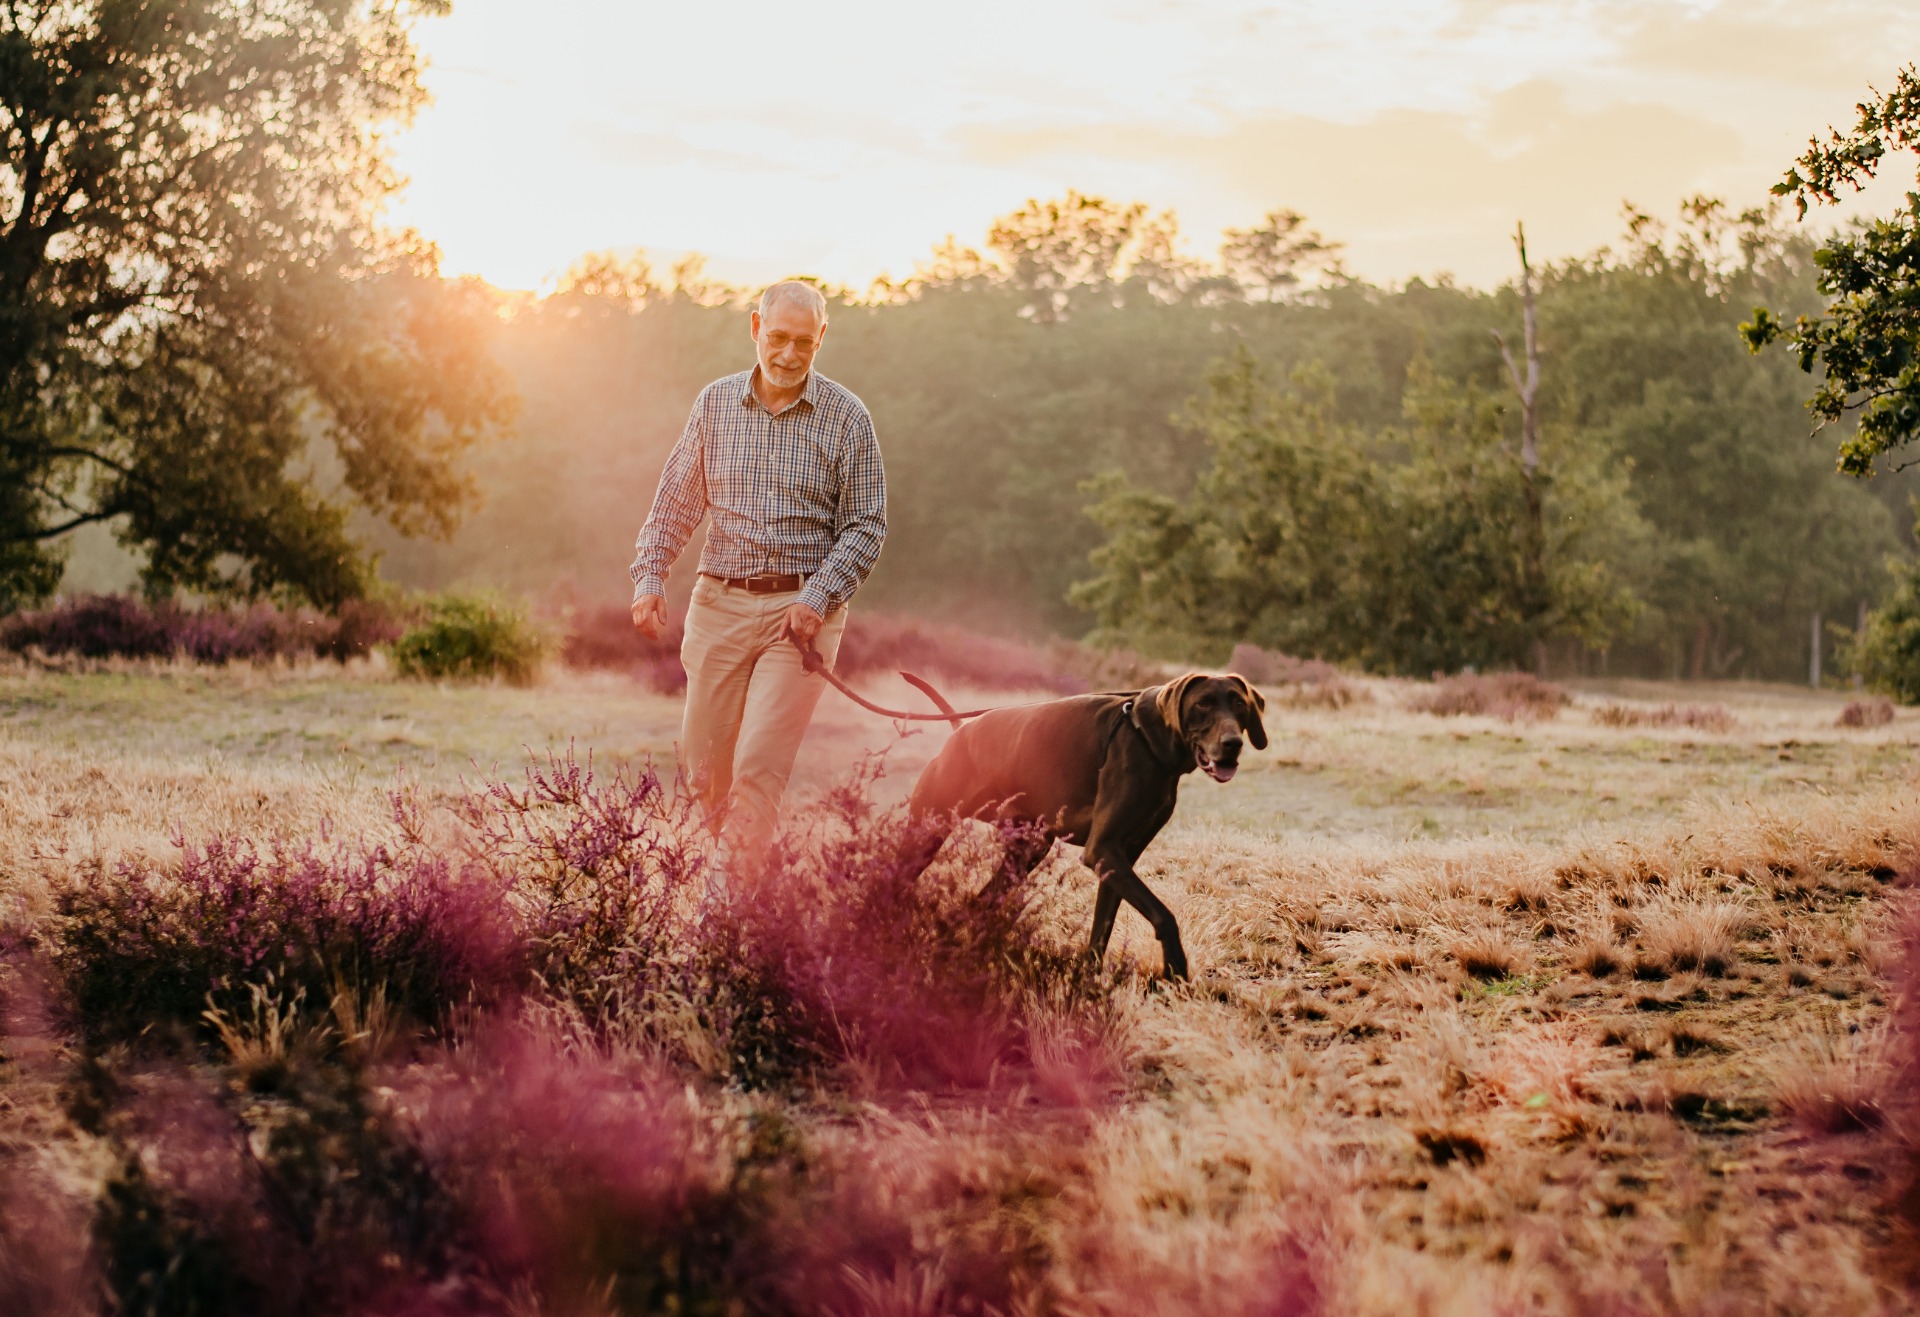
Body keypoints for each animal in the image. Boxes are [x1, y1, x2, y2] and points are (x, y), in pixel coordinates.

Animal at [906, 679, 1267, 979]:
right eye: (1202, 704)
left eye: (1239, 703)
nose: (1232, 743)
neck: (1148, 739)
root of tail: (959, 731)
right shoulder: (1104, 852)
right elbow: (1164, 916)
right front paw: (1175, 967)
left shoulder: (1119, 860)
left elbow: (1101, 930)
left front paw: (1086, 983)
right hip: (928, 832)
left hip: (1030, 849)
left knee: (977, 902)